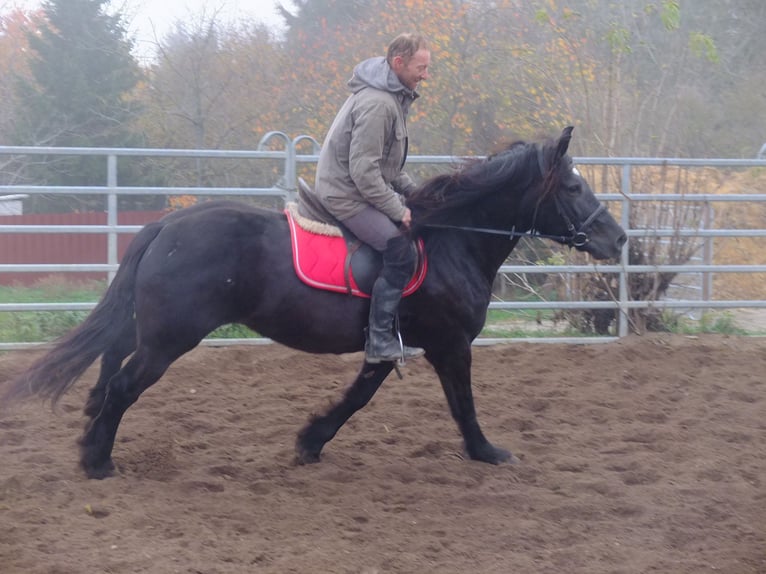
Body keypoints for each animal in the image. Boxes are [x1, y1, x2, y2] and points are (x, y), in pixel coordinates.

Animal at [4, 128, 632, 480]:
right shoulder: (450, 345)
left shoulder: (392, 345)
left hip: (148, 330)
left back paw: (91, 442)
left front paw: (310, 441)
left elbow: (358, 396)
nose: (618, 239)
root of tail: (166, 225)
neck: (451, 239)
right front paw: (487, 452)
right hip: (167, 341)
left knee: (108, 370)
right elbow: (462, 405)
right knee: (121, 386)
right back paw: (98, 462)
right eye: (573, 187)